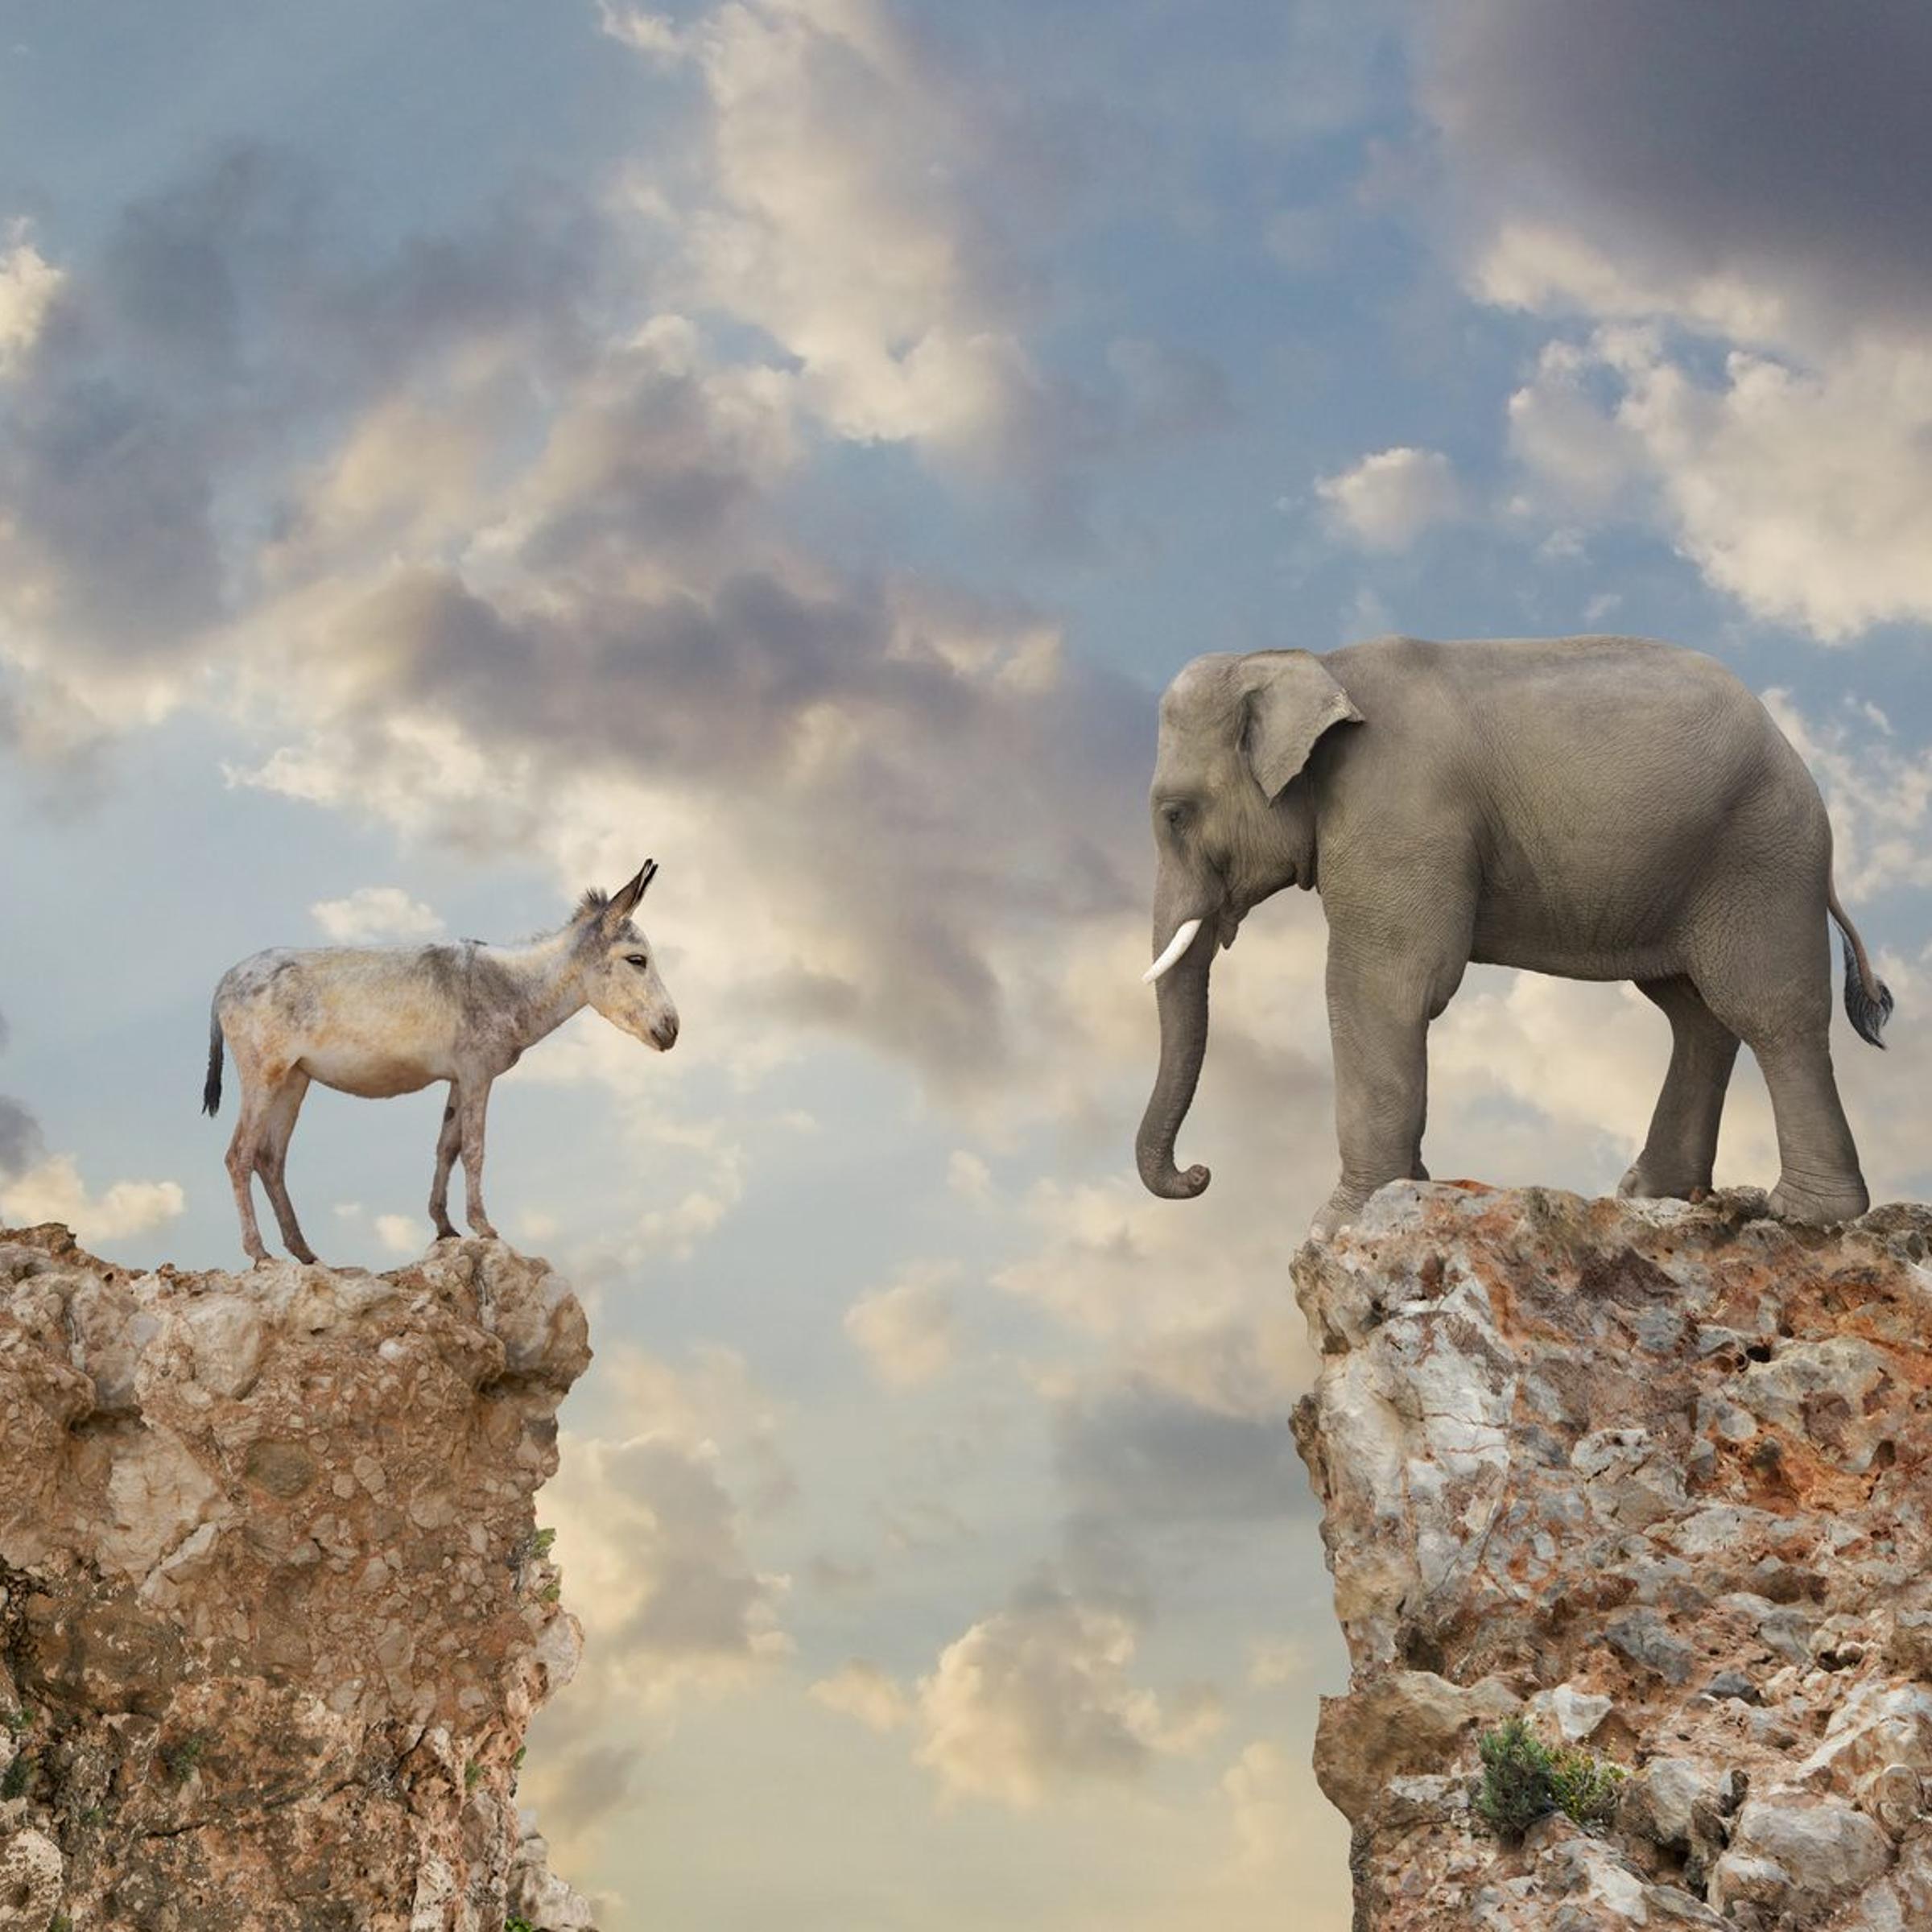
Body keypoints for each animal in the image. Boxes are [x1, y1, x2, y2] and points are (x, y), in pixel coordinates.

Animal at [1135, 634, 1894, 1238]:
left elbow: (1387, 985)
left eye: (1174, 815)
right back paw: (1655, 1196)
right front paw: (1410, 1190)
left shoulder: (1399, 817)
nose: (1200, 1173)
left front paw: (1342, 1225)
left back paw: (1806, 1215)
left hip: (1759, 859)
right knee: (1695, 1012)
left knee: (1768, 1012)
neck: (1317, 662)